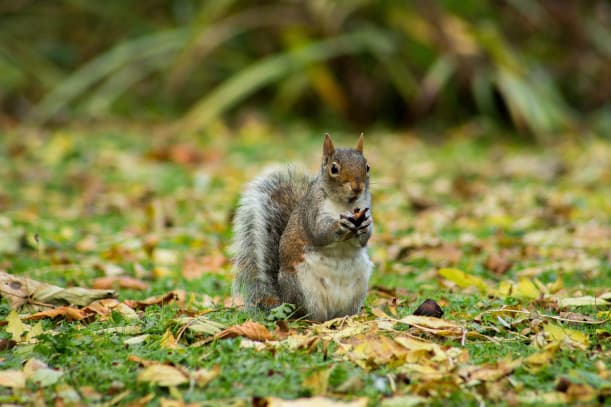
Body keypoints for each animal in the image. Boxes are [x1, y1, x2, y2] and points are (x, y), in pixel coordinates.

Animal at [232, 134, 372, 322]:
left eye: (367, 167)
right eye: (334, 168)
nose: (357, 187)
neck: (345, 206)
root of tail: (284, 301)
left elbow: (364, 240)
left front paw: (366, 226)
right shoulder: (312, 211)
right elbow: (319, 232)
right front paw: (340, 225)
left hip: (359, 286)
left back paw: (348, 318)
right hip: (302, 288)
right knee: (307, 315)